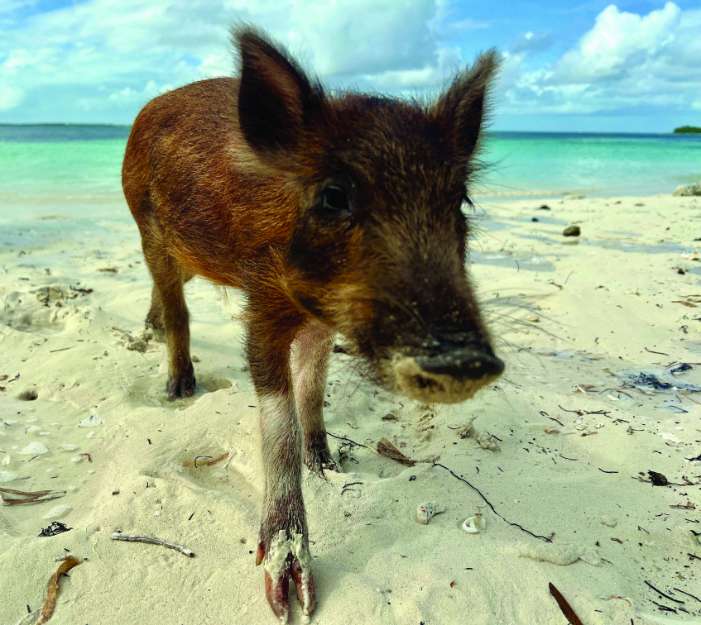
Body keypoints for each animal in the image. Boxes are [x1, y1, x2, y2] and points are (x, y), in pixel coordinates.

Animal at [121, 25, 504, 624]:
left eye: (458, 200)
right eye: (333, 196)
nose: (465, 359)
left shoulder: (323, 321)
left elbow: (315, 384)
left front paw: (327, 463)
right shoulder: (262, 303)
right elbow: (277, 422)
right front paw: (290, 598)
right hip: (146, 226)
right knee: (175, 300)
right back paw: (179, 387)